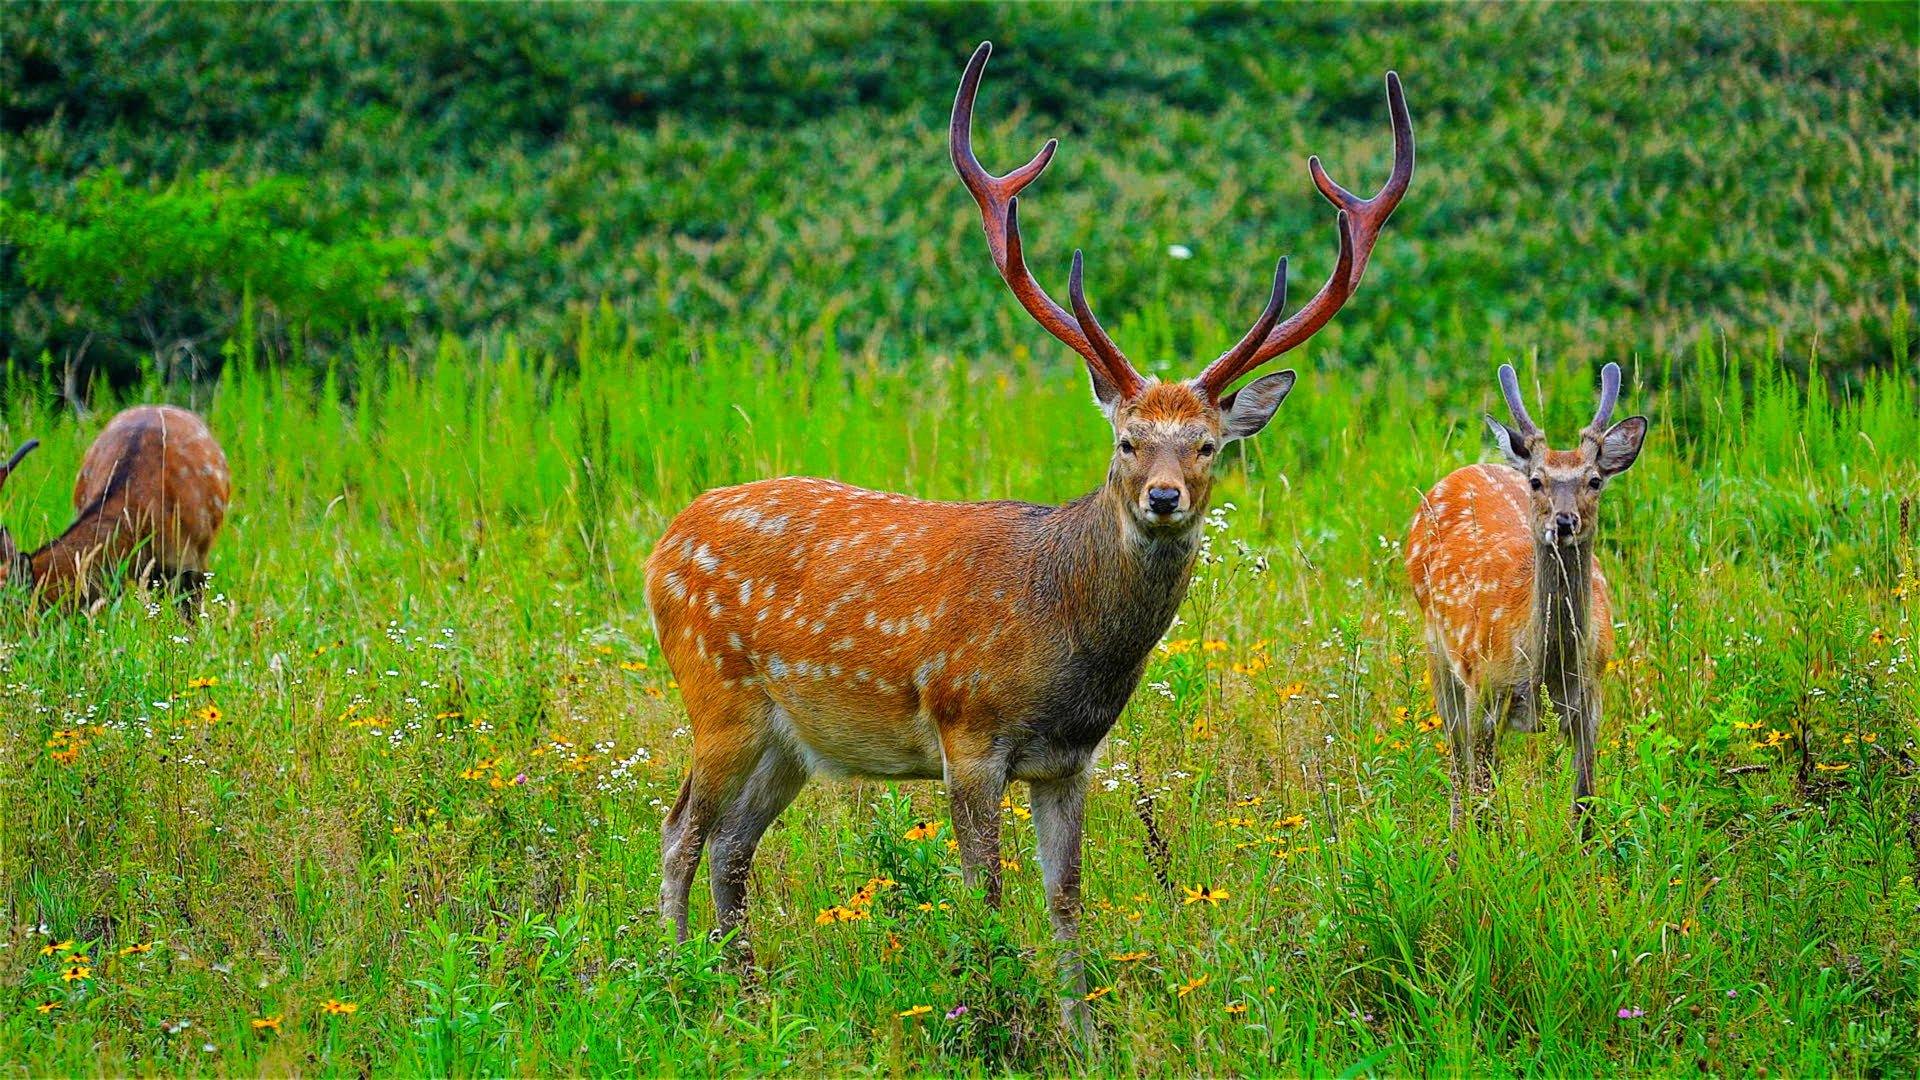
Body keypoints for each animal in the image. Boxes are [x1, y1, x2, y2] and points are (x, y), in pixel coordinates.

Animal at [645, 35, 1413, 1006]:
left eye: (1207, 445)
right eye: (1126, 440)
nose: (1164, 498)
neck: (1066, 637)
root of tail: (662, 545)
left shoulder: (1071, 758)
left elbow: (1067, 900)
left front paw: (1078, 1022)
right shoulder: (967, 730)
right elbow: (986, 898)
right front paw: (988, 1014)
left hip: (791, 738)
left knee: (731, 848)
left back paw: (745, 998)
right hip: (717, 694)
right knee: (680, 832)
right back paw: (678, 993)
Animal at [1405, 365, 1658, 826]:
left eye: (1595, 480)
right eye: (1537, 481)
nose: (1564, 521)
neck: (1547, 668)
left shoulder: (1590, 699)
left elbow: (1585, 805)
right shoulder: (1484, 690)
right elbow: (1482, 802)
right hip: (1437, 649)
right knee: (1456, 765)